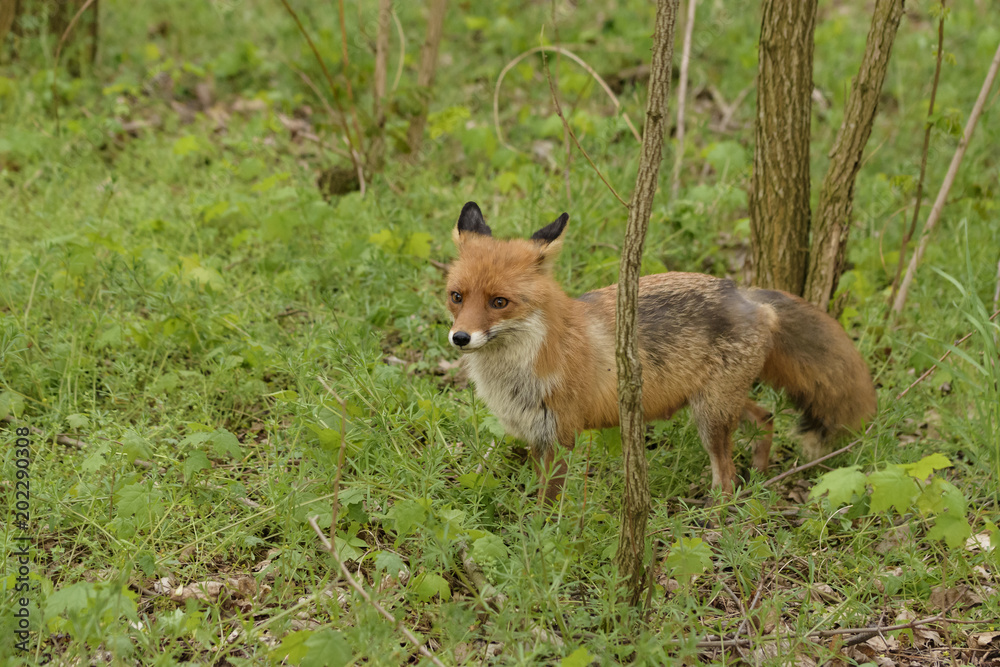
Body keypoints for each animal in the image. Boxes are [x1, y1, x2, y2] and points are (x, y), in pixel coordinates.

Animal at [446, 204, 876, 500]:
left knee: (725, 478)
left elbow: (548, 504)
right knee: (765, 417)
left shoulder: (560, 436)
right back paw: (759, 473)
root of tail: (745, 294)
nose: (460, 338)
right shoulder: (536, 437)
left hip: (710, 417)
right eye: (457, 297)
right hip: (718, 404)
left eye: (499, 302)